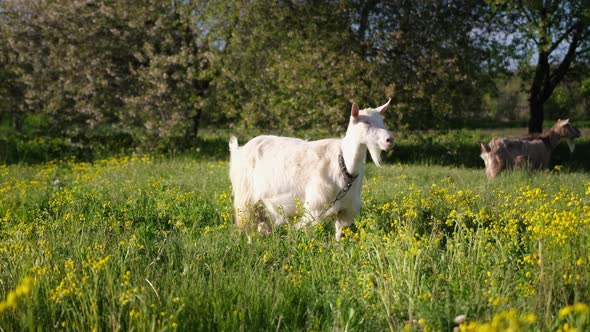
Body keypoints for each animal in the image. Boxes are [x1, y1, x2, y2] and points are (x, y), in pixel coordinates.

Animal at [229, 100, 396, 240]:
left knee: (261, 221)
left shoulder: (345, 210)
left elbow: (339, 233)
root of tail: (239, 150)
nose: (390, 140)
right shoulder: (315, 206)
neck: (343, 163)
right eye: (366, 122)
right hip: (245, 197)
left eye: (382, 121)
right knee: (247, 224)